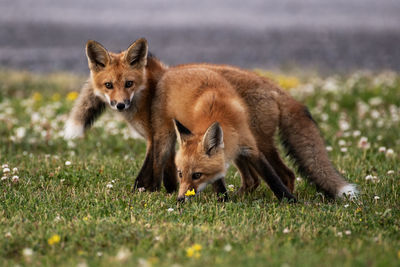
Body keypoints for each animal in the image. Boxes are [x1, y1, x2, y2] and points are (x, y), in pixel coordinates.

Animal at [64, 38, 358, 200]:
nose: (120, 104)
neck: (150, 87)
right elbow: (169, 171)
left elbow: (150, 170)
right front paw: (173, 192)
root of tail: (276, 87)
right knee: (253, 180)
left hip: (257, 143)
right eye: (109, 85)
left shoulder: (158, 135)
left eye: (128, 83)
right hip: (236, 146)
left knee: (284, 174)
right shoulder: (169, 137)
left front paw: (146, 193)